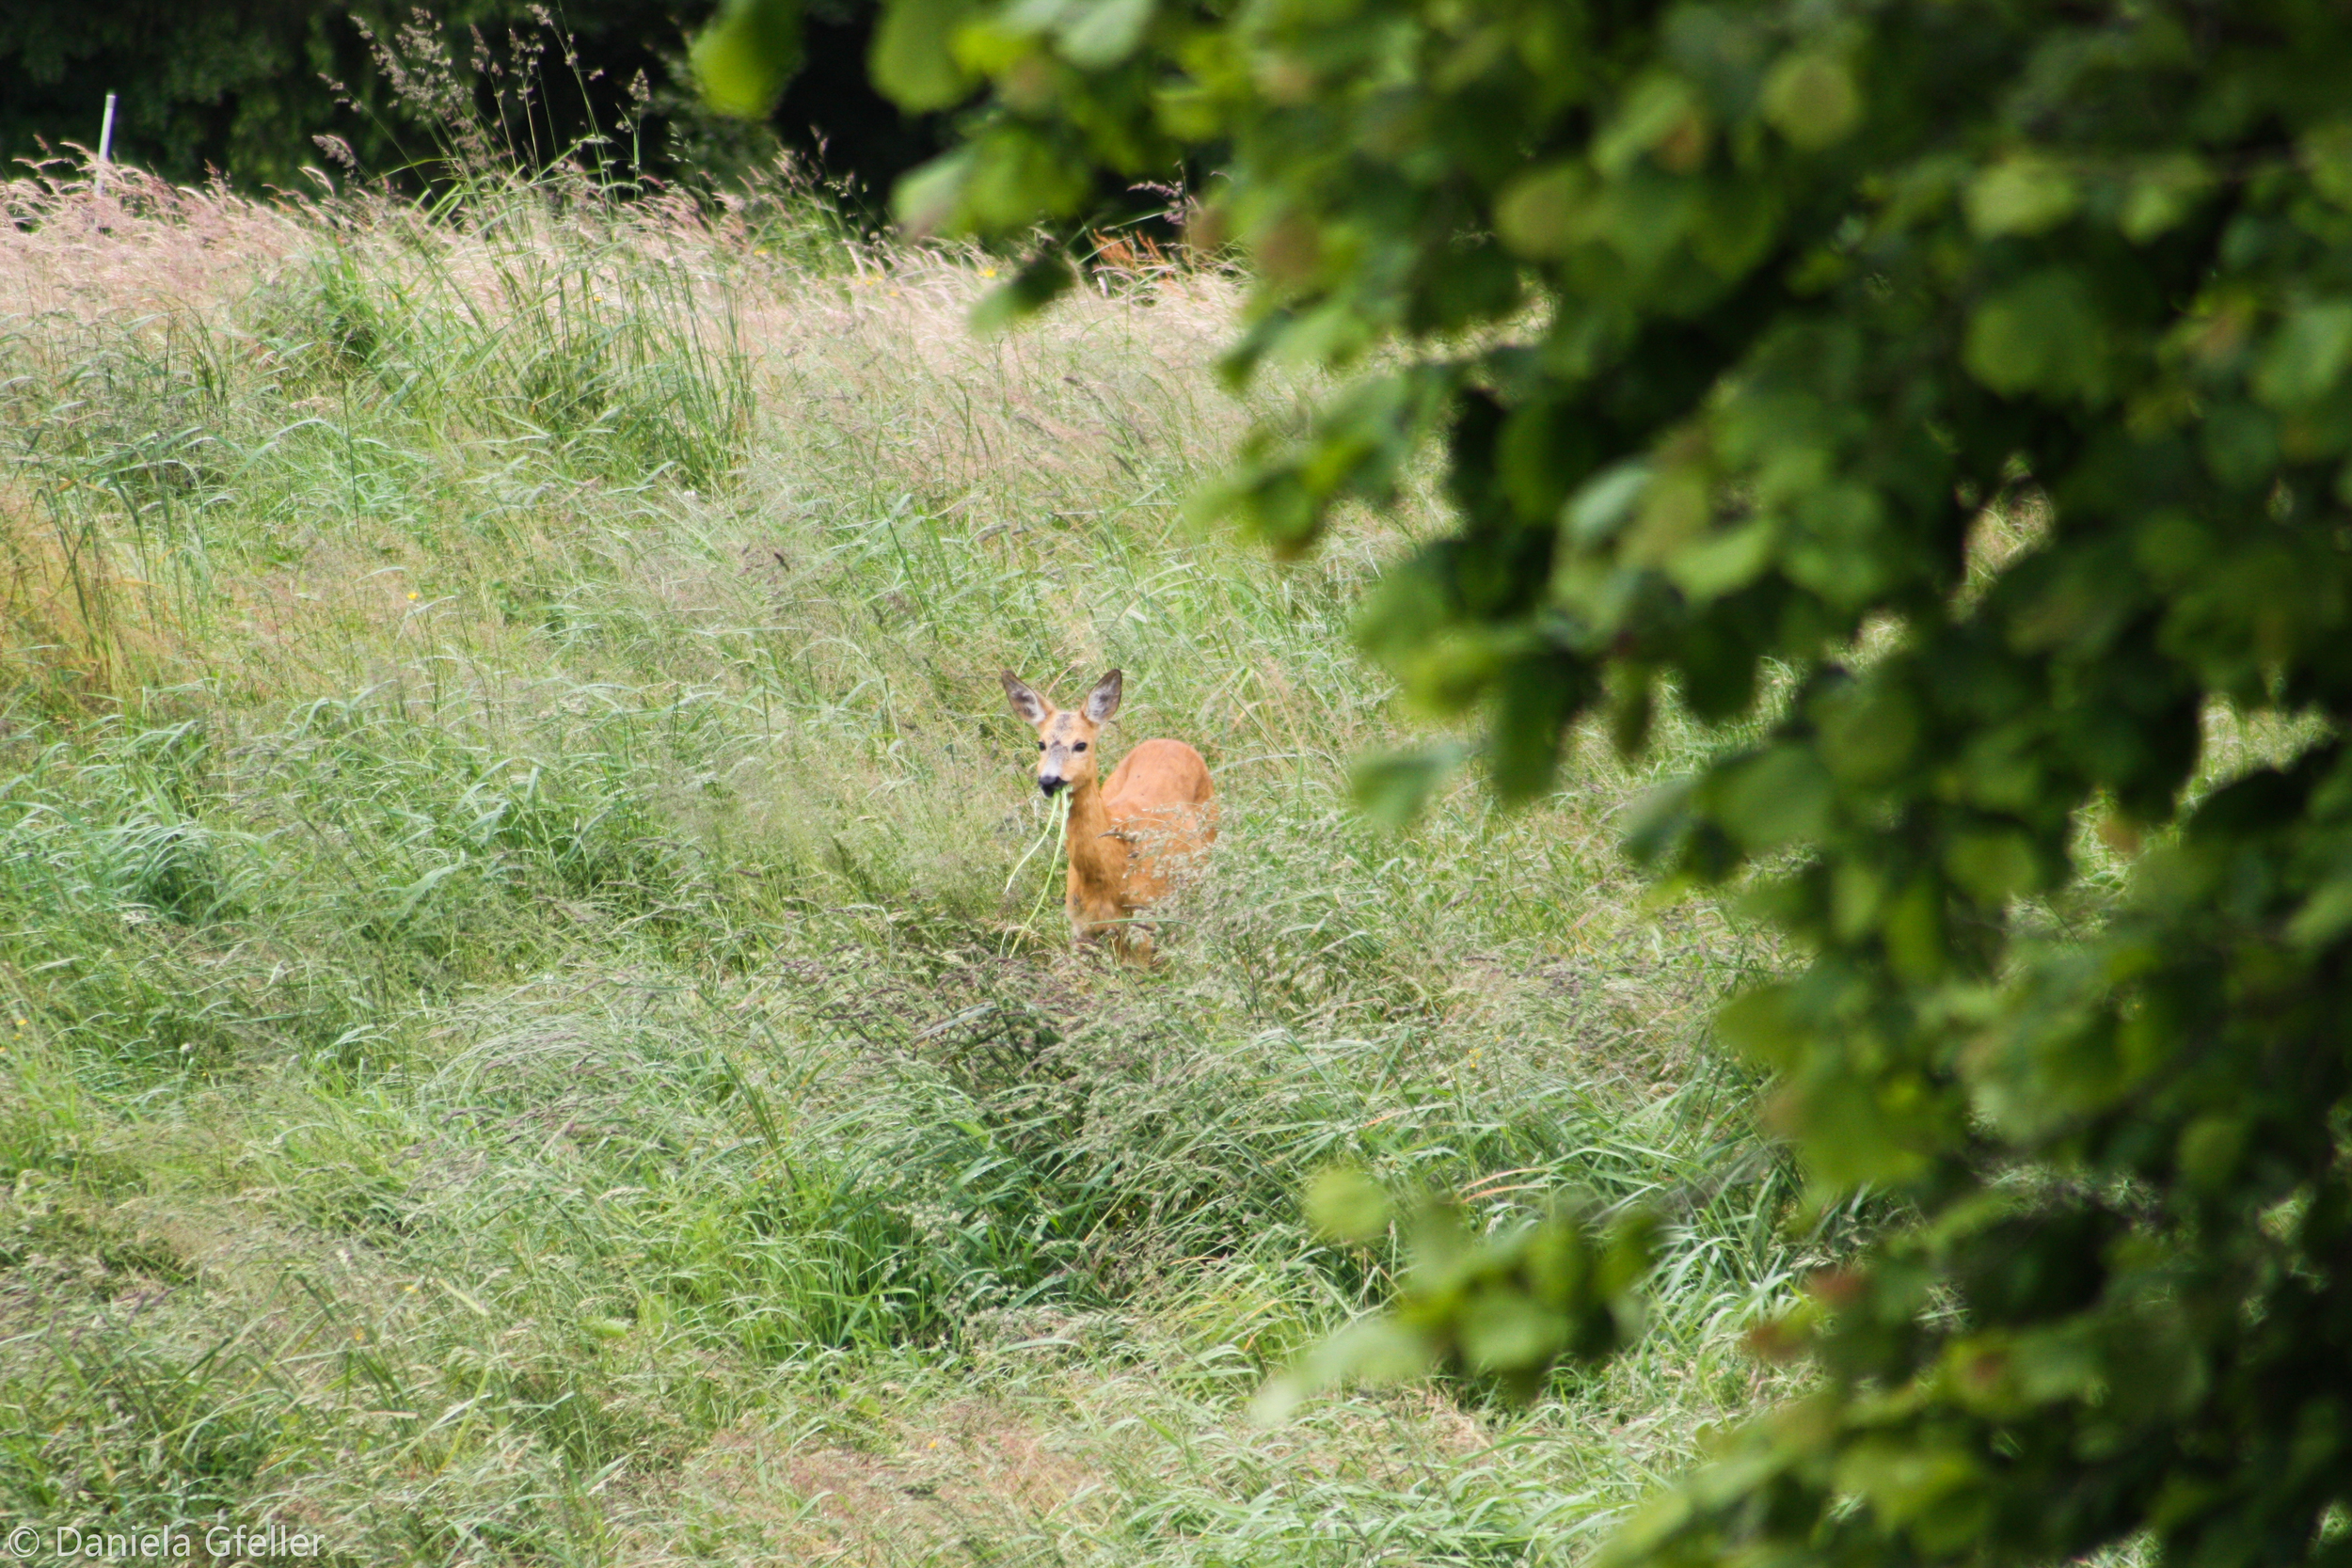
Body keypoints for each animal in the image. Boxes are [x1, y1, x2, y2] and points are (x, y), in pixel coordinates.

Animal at [1002, 667, 1214, 963]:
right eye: (1041, 744)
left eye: (1081, 745)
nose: (1049, 781)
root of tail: (1169, 741)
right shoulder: (1081, 927)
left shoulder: (1145, 921)